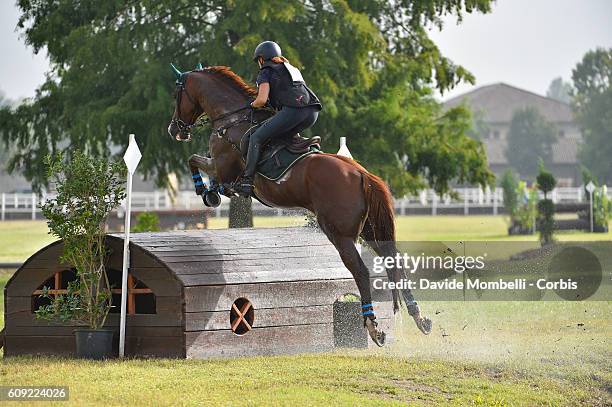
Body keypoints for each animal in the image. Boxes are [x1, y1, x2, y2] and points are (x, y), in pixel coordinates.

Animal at [166, 64, 430, 348]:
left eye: (177, 95)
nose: (174, 130)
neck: (232, 119)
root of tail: (361, 173)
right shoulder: (220, 168)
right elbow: (202, 167)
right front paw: (211, 191)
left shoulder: (221, 165)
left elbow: (194, 161)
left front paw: (207, 193)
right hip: (369, 231)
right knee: (394, 262)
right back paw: (419, 318)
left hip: (339, 233)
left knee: (360, 270)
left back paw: (373, 325)